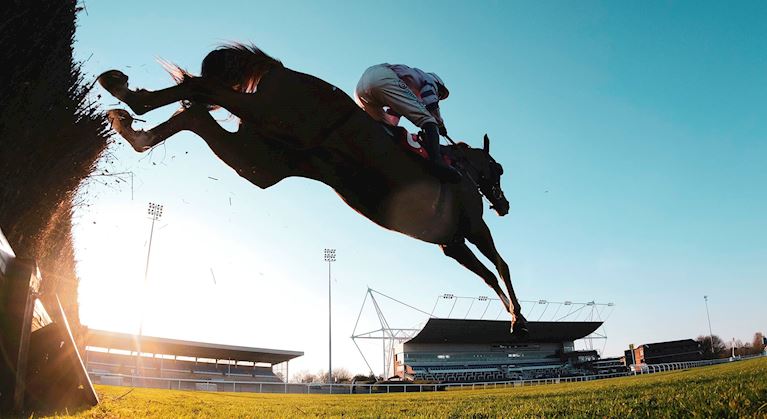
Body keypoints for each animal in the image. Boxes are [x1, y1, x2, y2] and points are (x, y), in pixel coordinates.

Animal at [97, 44, 528, 336]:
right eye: (498, 170)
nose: (504, 205)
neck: (462, 172)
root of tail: (283, 69)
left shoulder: (451, 244)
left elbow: (488, 276)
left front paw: (513, 316)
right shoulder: (473, 229)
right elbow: (502, 266)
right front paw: (518, 318)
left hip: (260, 161)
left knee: (196, 111)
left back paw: (131, 119)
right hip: (269, 119)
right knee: (201, 89)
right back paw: (128, 95)